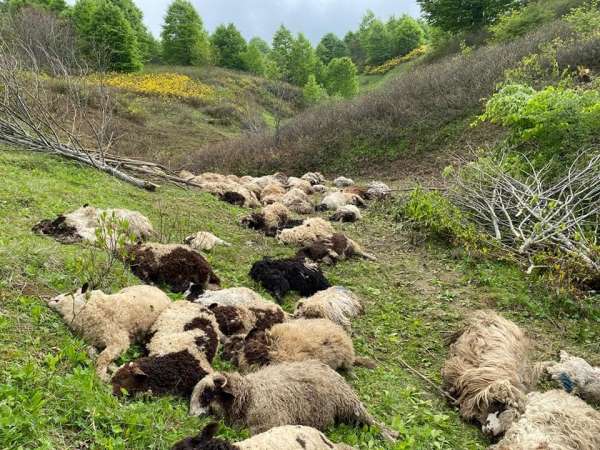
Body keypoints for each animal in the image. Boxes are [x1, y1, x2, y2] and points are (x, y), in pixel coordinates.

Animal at [190, 360, 400, 442]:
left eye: (207, 394)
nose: (191, 416)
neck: (249, 394)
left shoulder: (268, 424)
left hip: (351, 404)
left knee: (372, 422)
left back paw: (391, 436)